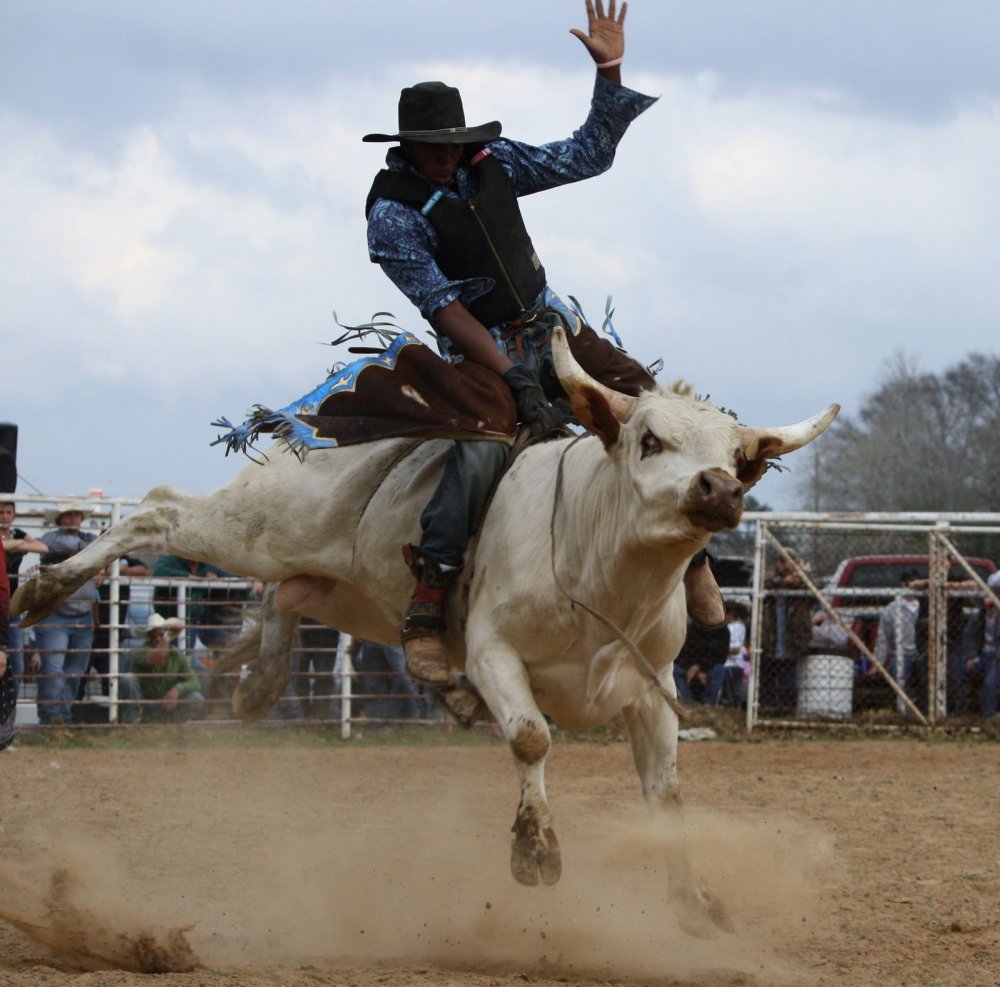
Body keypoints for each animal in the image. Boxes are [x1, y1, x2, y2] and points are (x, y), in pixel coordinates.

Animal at [15, 330, 836, 932]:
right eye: (650, 440)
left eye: (737, 456)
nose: (720, 489)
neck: (596, 560)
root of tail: (305, 431)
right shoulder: (495, 651)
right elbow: (532, 737)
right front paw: (534, 850)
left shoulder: (651, 685)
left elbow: (666, 793)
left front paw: (693, 903)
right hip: (259, 528)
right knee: (157, 510)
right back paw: (43, 587)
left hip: (345, 590)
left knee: (284, 597)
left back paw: (258, 688)